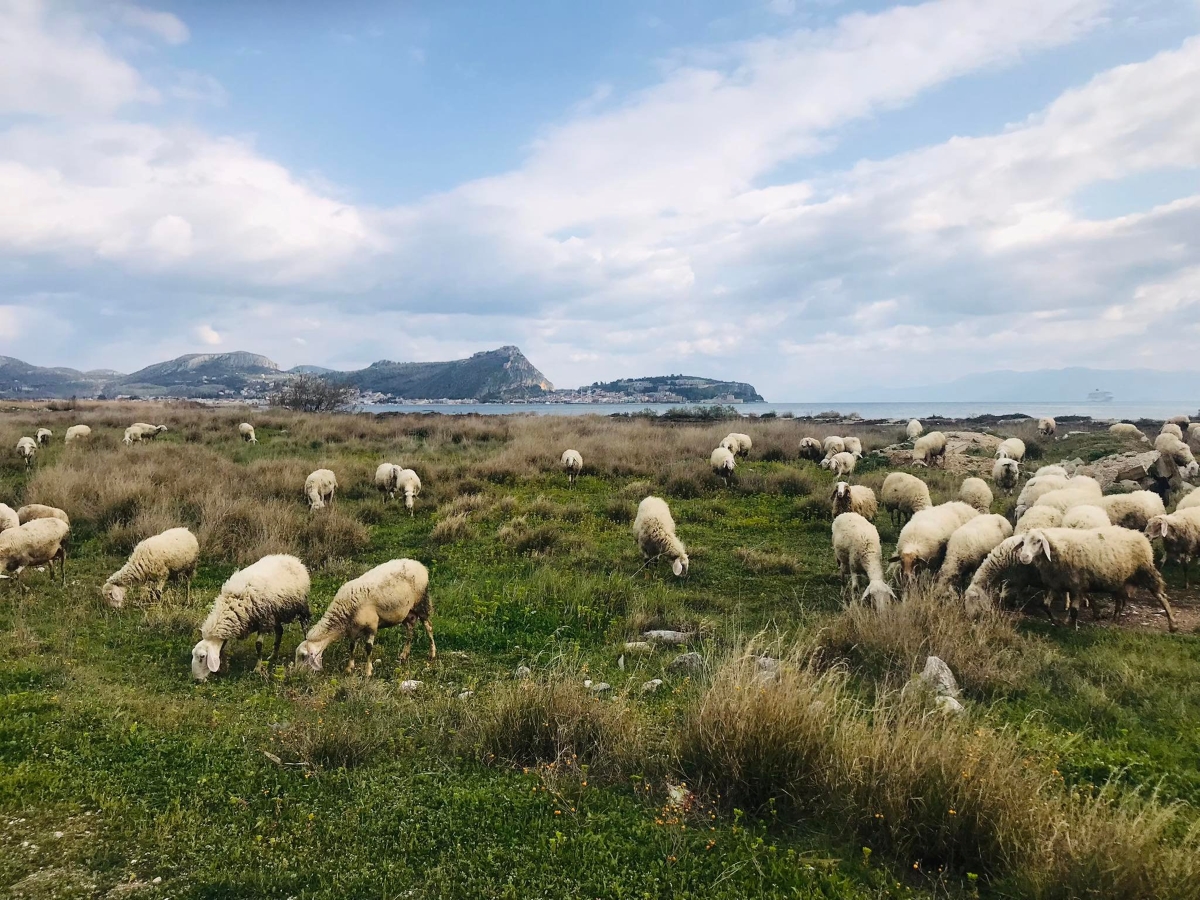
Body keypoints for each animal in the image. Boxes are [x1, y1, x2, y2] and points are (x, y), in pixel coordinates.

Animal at [292, 561, 434, 681]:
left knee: (429, 627)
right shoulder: (353, 629)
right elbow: (352, 647)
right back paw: (403, 655)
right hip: (406, 613)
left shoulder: (371, 626)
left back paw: (432, 654)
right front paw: (349, 668)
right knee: (410, 631)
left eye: (303, 656)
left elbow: (368, 648)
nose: (296, 674)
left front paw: (368, 671)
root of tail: (420, 565)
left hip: (421, 602)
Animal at [1017, 525, 1176, 628]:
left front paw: (1073, 629)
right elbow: (1045, 605)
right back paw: (1114, 621)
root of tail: (1139, 534)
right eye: (1023, 541)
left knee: (1161, 596)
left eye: (1038, 541)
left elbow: (1074, 610)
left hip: (1145, 571)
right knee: (1120, 601)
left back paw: (1172, 624)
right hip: (1118, 580)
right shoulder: (1056, 583)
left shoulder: (1077, 584)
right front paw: (1057, 622)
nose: (1024, 557)